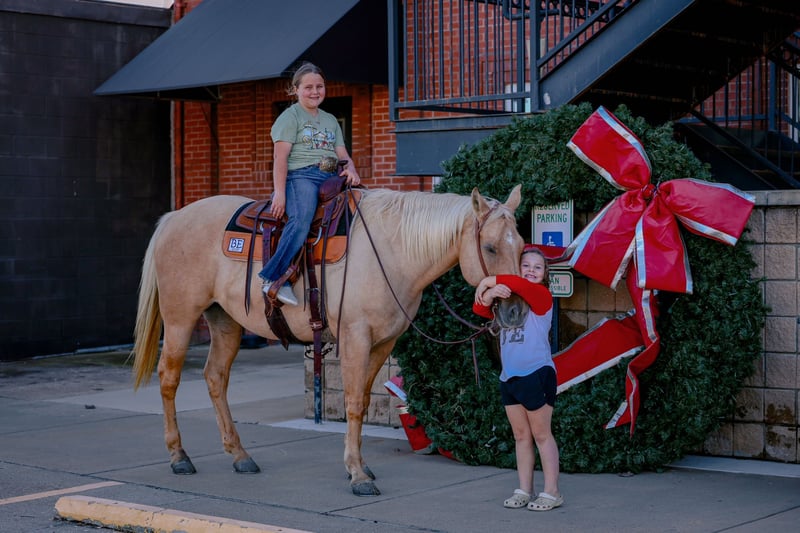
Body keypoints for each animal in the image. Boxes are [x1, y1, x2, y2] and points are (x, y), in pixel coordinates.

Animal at [131, 185, 526, 496]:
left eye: (521, 246)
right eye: (490, 248)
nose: (515, 311)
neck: (392, 252)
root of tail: (174, 218)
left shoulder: (384, 342)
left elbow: (363, 401)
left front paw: (360, 465)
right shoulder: (355, 337)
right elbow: (351, 403)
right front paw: (357, 475)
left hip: (225, 321)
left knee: (215, 377)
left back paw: (240, 456)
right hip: (180, 318)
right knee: (169, 378)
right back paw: (179, 457)